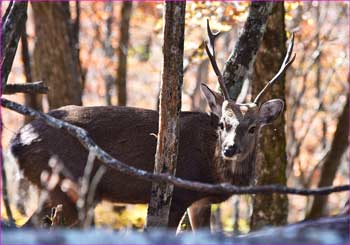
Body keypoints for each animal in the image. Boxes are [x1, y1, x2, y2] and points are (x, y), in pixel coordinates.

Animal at [9, 21, 294, 230]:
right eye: (223, 124)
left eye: (253, 127)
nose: (230, 149)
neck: (213, 171)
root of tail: (16, 142)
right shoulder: (178, 194)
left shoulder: (200, 202)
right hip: (69, 183)